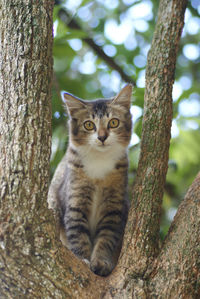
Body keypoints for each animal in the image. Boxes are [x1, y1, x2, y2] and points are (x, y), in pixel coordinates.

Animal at [48, 84, 133, 276]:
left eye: (113, 122)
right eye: (89, 125)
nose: (102, 137)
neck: (99, 162)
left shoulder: (113, 208)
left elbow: (106, 239)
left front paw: (101, 262)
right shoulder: (75, 202)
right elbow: (78, 235)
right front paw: (83, 259)